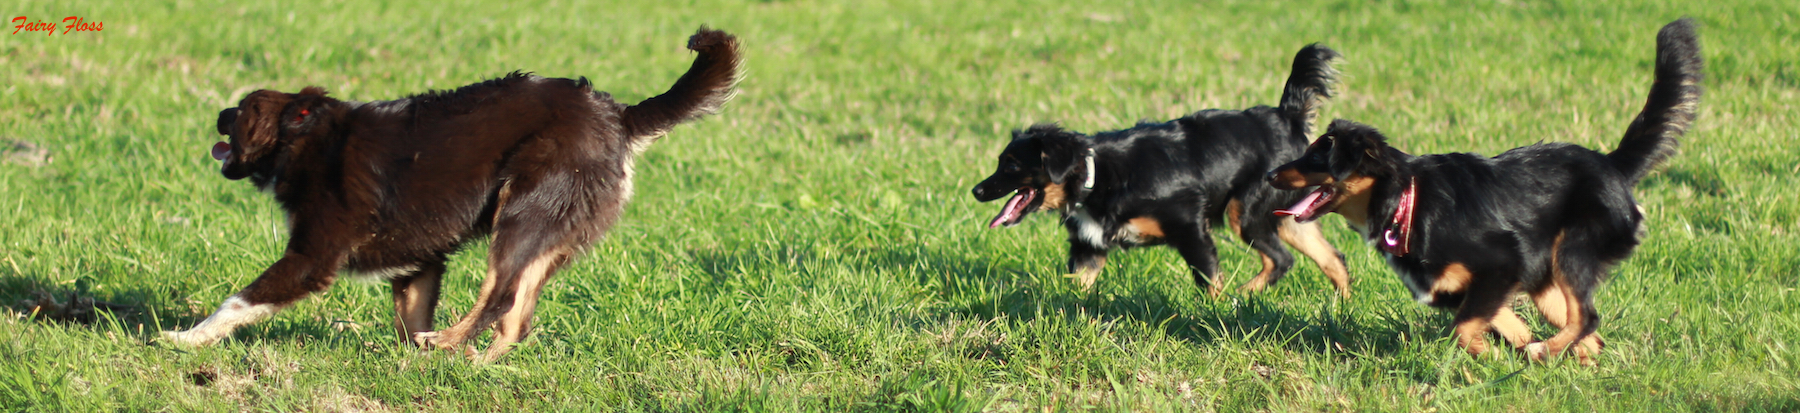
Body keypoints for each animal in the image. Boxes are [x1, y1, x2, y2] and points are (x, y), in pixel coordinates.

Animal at [160, 28, 738, 360]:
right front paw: (413, 362)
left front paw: (184, 339)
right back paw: (478, 364)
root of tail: (617, 114)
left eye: (242, 110)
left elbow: (236, 301)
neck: (307, 138)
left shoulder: (312, 257)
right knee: (517, 315)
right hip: (554, 233)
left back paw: (452, 343)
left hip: (524, 210)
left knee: (500, 295)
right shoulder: (420, 259)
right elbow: (410, 313)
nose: (218, 114)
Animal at [972, 45, 1353, 297]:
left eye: (1011, 165)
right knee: (1333, 259)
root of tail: (1286, 116)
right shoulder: (1088, 249)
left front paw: (1215, 314)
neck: (1096, 177)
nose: (976, 191)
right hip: (1288, 214)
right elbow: (1076, 286)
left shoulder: (1191, 228)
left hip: (1245, 210)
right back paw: (1341, 308)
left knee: (1280, 260)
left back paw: (1243, 296)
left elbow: (1209, 281)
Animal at [1267, 20, 1699, 364]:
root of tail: (1611, 165)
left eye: (1315, 156)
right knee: (1589, 336)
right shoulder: (1468, 288)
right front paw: (1498, 356)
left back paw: (1546, 352)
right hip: (1547, 280)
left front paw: (1498, 355)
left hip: (1573, 252)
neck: (1406, 200)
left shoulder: (1502, 264)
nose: (1270, 173)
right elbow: (1492, 326)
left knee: (1587, 318)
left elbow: (1463, 330)